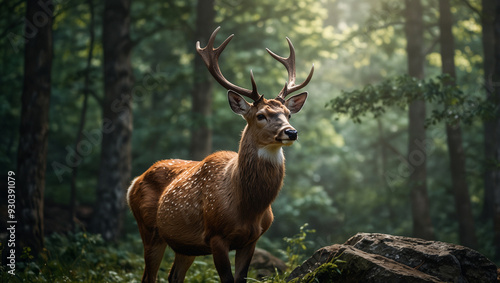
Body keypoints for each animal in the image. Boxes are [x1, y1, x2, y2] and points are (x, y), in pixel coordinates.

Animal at [125, 27, 312, 283]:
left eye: (288, 114)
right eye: (261, 115)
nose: (291, 132)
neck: (248, 206)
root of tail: (133, 182)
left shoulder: (252, 239)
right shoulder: (216, 236)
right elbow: (227, 279)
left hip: (186, 244)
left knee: (174, 276)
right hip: (149, 229)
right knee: (148, 276)